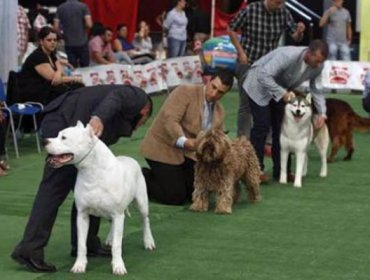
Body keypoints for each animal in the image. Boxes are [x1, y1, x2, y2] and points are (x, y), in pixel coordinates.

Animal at [44, 121, 155, 274]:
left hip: (142, 203)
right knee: (112, 224)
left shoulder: (118, 214)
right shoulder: (82, 215)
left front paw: (118, 266)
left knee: (145, 221)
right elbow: (81, 244)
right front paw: (79, 265)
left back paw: (148, 241)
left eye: (64, 137)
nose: (44, 141)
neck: (92, 172)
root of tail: (129, 158)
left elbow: (117, 245)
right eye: (58, 135)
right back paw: (110, 238)